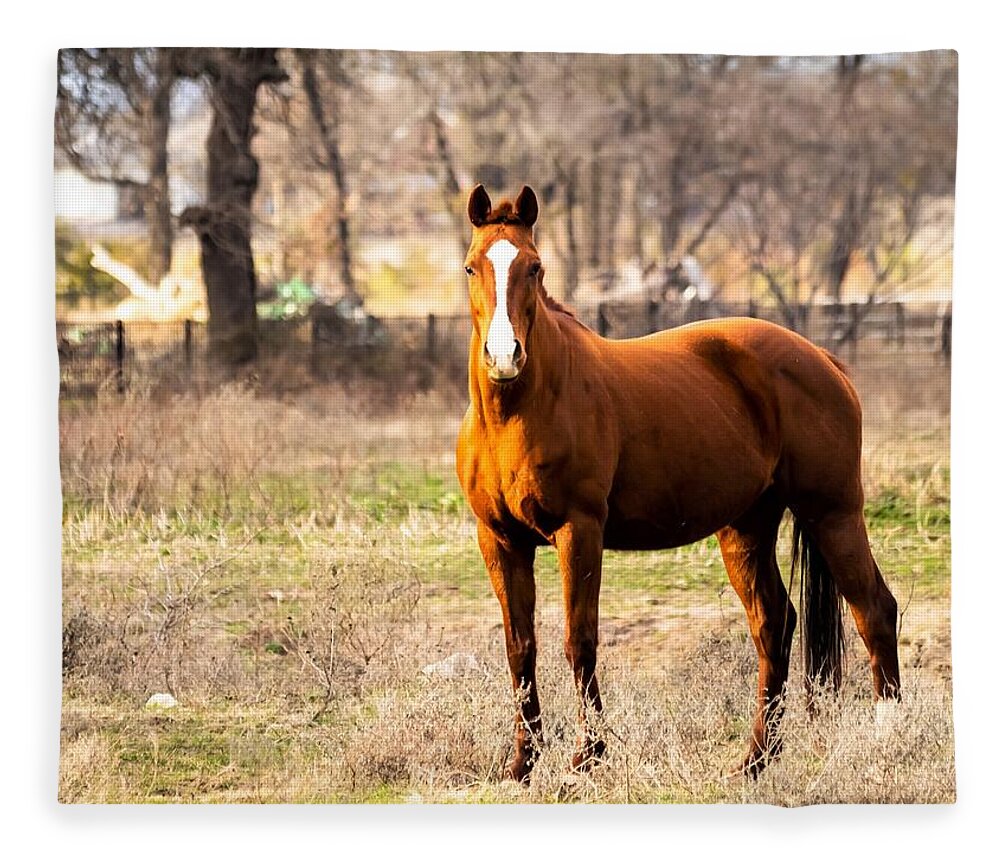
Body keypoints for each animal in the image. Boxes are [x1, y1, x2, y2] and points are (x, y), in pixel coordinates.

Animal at [458, 185, 904, 784]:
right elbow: (519, 647)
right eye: (471, 267)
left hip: (832, 513)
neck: (520, 414)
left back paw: (884, 743)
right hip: (746, 529)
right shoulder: (500, 540)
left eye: (534, 267)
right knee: (775, 624)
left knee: (874, 611)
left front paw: (586, 757)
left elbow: (579, 640)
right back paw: (754, 760)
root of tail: (823, 359)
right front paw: (521, 763)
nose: (504, 357)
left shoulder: (579, 532)